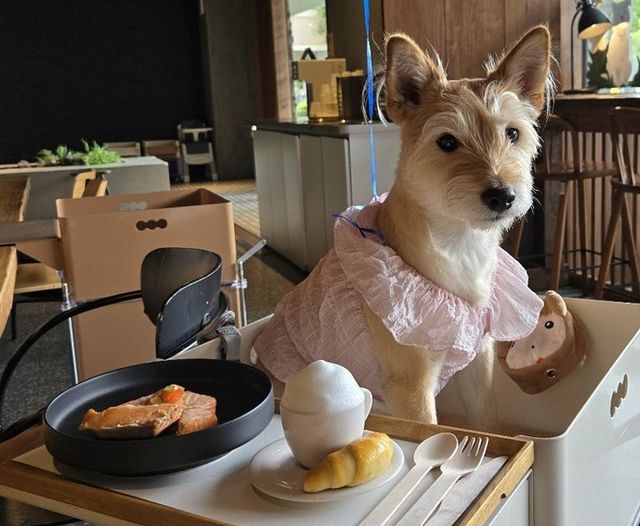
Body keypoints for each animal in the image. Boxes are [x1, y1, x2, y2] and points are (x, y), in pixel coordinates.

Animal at [254, 26, 552, 427]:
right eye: (447, 141)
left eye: (513, 134)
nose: (502, 196)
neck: (458, 244)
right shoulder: (410, 386)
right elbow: (428, 428)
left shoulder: (480, 361)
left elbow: (486, 421)